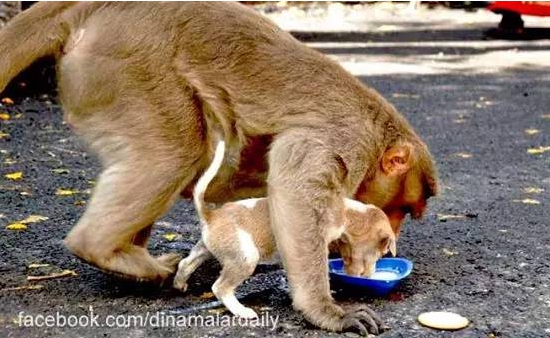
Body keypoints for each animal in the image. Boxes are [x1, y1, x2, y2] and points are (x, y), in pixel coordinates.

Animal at [0, 1, 440, 336]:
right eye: (402, 210)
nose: (395, 236)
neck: (376, 132)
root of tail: (90, 7)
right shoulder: (344, 143)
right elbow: (295, 194)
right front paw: (328, 311)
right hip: (127, 65)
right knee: (176, 153)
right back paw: (107, 250)